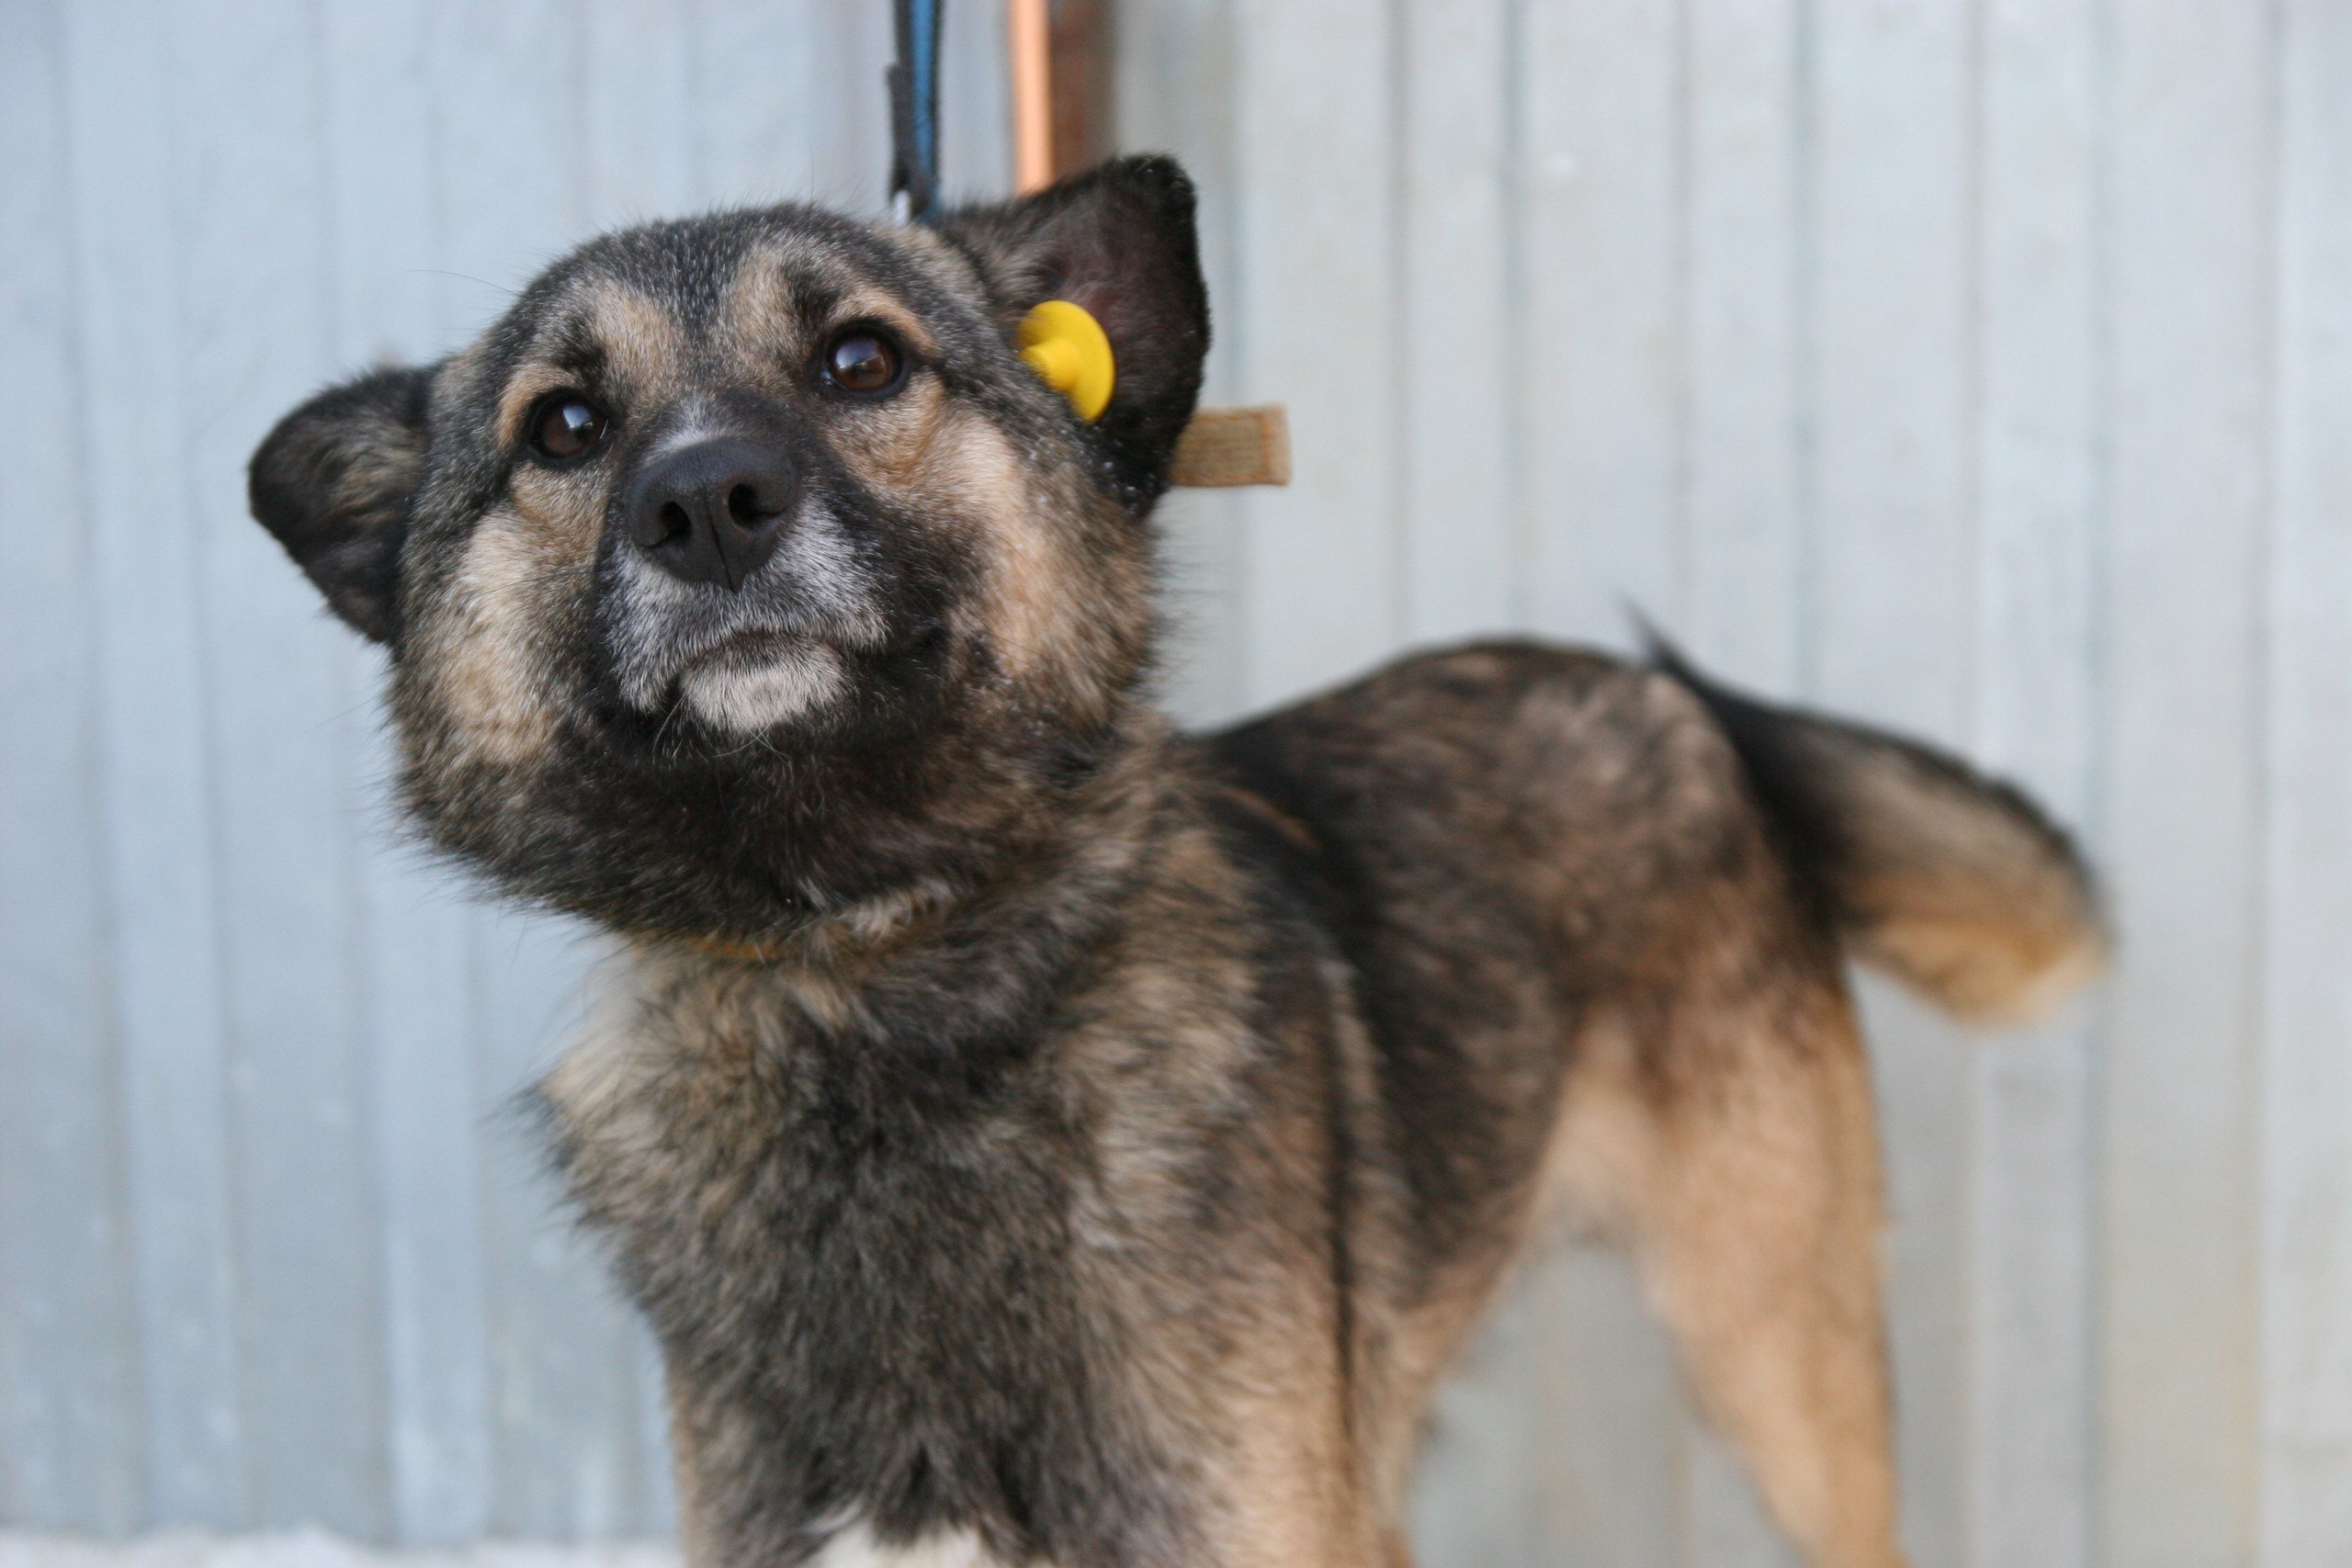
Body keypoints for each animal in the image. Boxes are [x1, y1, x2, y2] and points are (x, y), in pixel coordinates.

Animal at [249, 155, 2101, 1568]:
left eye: (860, 363)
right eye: (564, 426)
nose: (707, 504)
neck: (873, 982)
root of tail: (1675, 703)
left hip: (1774, 1355)